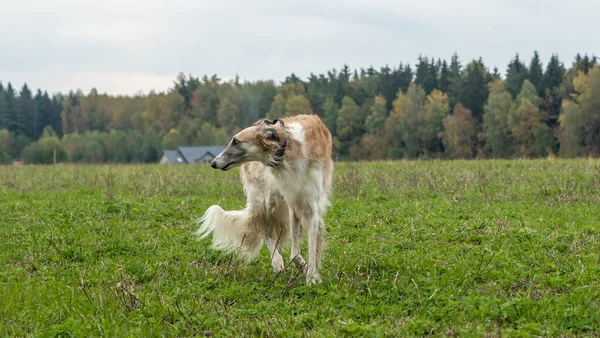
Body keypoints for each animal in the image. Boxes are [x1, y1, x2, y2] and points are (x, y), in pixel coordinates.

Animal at [199, 114, 336, 286]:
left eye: (236, 141)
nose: (213, 163)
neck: (286, 151)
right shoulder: (293, 203)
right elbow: (294, 253)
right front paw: (307, 272)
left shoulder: (307, 207)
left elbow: (308, 248)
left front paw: (311, 276)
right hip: (265, 201)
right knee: (267, 232)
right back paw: (277, 261)